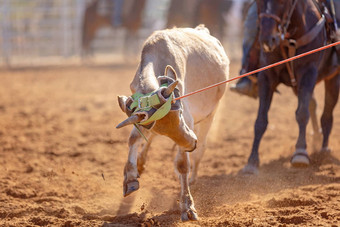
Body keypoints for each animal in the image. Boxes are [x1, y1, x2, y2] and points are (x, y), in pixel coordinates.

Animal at [115, 25, 230, 222]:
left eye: (180, 113)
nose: (192, 143)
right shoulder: (143, 119)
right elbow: (134, 138)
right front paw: (130, 178)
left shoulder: (190, 121)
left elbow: (182, 164)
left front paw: (187, 206)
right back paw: (141, 163)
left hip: (210, 115)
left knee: (201, 149)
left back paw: (192, 176)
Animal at [243, 0, 338, 174]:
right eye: (258, 2)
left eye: (282, 2)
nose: (268, 40)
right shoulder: (267, 76)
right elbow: (260, 120)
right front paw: (252, 162)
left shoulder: (308, 72)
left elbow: (302, 113)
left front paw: (300, 152)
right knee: (314, 105)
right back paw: (317, 138)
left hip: (333, 78)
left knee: (327, 115)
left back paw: (324, 150)